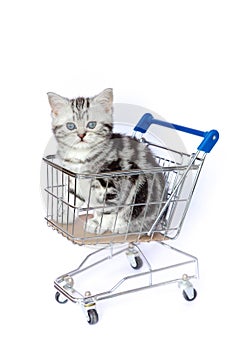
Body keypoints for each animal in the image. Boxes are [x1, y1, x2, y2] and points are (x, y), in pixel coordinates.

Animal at [47, 89, 166, 234]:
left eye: (91, 125)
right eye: (70, 126)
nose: (81, 135)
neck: (82, 154)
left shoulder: (112, 183)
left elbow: (107, 208)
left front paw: (98, 224)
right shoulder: (74, 177)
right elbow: (72, 197)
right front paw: (64, 215)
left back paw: (120, 225)